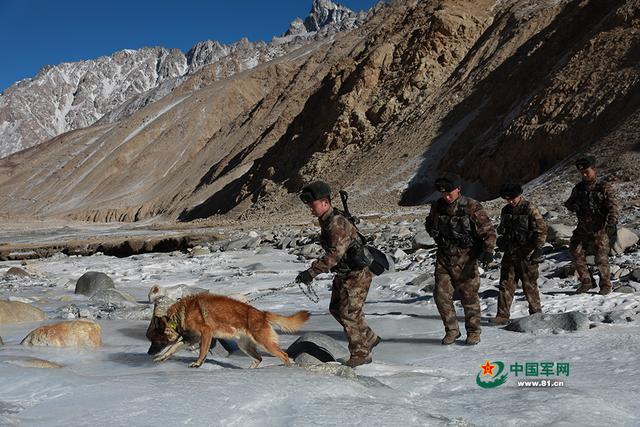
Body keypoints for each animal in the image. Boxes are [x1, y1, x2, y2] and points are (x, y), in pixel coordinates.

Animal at [148, 294, 312, 368]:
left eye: (153, 340)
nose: (148, 353)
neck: (179, 316)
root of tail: (262, 314)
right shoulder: (190, 339)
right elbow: (171, 349)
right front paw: (161, 358)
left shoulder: (206, 333)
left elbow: (202, 352)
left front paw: (198, 363)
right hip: (245, 346)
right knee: (258, 359)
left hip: (265, 344)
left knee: (284, 356)